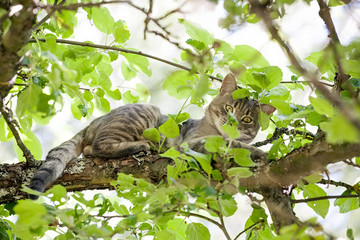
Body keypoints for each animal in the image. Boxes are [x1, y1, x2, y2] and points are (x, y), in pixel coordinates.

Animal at [29, 73, 276, 199]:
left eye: (247, 120)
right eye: (228, 108)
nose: (233, 123)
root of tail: (93, 123)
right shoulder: (191, 142)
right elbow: (230, 144)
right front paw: (260, 153)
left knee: (91, 150)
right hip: (144, 113)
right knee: (98, 146)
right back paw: (142, 145)